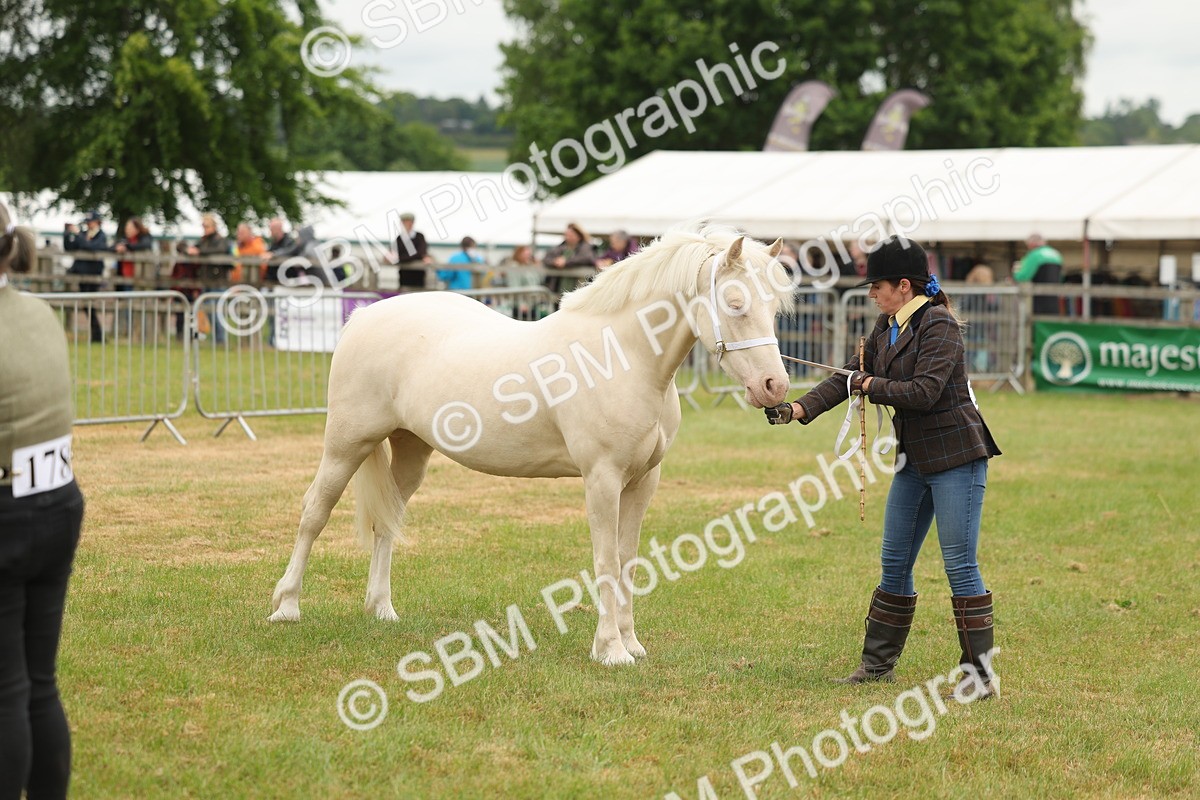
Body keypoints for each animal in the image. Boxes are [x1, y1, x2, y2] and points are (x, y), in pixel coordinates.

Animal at [268, 223, 795, 666]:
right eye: (734, 303)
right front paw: (610, 651)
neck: (621, 356)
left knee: (386, 523)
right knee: (314, 512)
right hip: (346, 444)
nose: (774, 387)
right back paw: (286, 607)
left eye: (774, 308)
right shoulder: (602, 480)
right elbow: (606, 561)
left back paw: (381, 609)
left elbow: (628, 561)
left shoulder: (643, 481)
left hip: (411, 451)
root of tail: (363, 315)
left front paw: (632, 644)